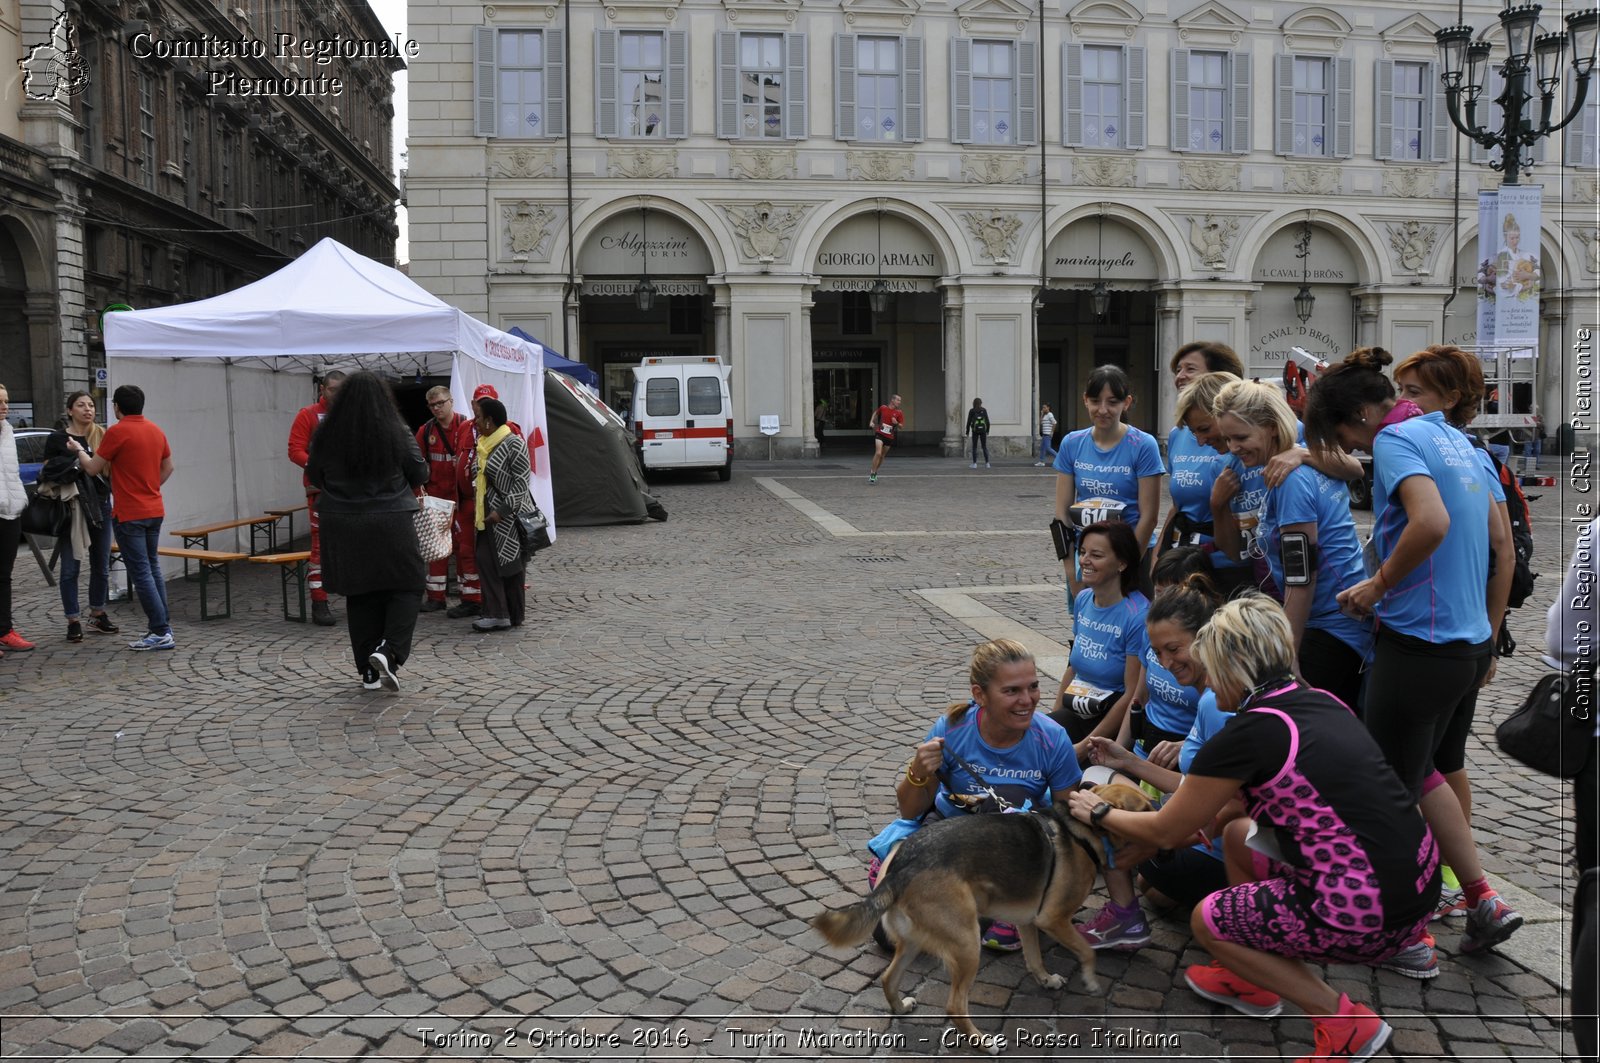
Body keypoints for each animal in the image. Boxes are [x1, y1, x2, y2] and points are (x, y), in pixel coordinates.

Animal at [812, 781, 1152, 1056]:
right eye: (1146, 808)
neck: (1080, 829)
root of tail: (901, 868)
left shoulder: (1029, 921)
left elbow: (1034, 958)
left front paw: (1046, 980)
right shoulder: (1053, 919)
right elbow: (1086, 951)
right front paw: (1091, 981)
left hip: (914, 942)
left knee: (888, 978)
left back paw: (900, 1007)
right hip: (967, 944)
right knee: (954, 1006)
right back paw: (983, 1042)